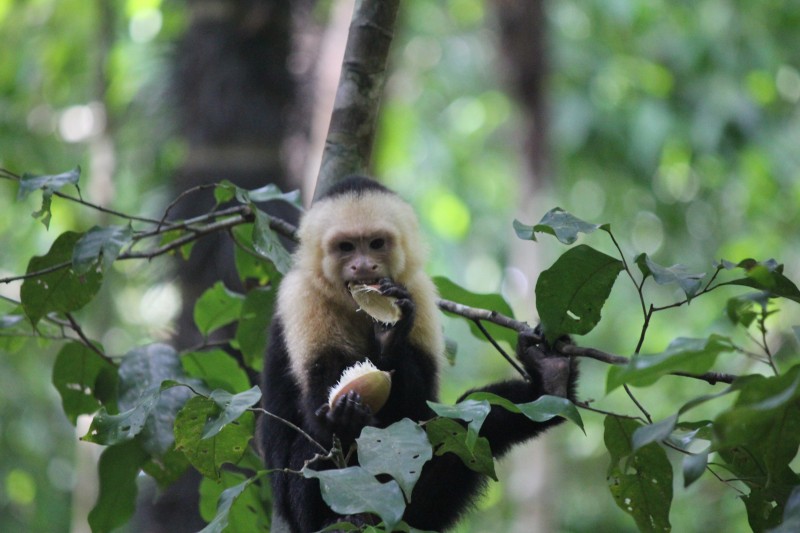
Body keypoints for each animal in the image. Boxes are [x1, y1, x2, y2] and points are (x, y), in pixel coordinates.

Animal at [259, 176, 578, 532]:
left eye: (376, 243)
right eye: (346, 248)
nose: (363, 265)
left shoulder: (419, 291)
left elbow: (418, 406)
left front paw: (390, 336)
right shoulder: (301, 297)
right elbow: (319, 407)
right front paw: (343, 415)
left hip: (421, 505)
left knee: (469, 420)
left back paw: (551, 380)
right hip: (300, 509)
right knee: (313, 451)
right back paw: (345, 517)